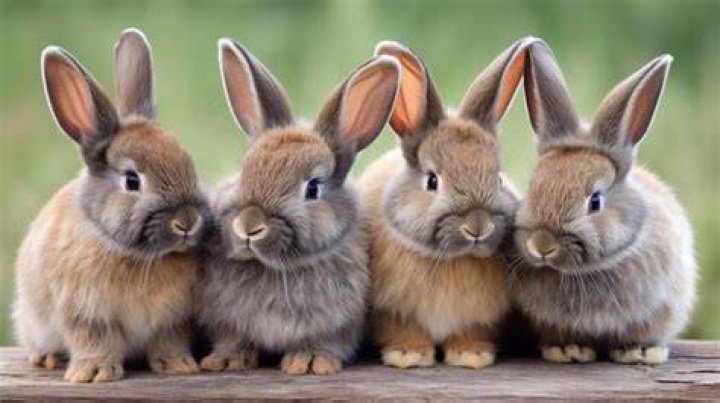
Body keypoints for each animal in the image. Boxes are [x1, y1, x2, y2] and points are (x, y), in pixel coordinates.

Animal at [12, 28, 209, 383]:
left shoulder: (172, 319)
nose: (187, 222)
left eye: (187, 162)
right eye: (132, 180)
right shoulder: (84, 314)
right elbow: (94, 341)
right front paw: (93, 374)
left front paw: (179, 366)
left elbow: (169, 340)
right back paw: (48, 358)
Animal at [196, 38, 400, 375]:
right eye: (244, 171)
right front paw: (226, 360)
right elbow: (233, 338)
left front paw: (310, 361)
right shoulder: (224, 318)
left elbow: (324, 341)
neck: (277, 269)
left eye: (313, 188)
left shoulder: (339, 322)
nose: (249, 226)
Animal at [357, 37, 539, 369]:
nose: (477, 227)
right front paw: (409, 355)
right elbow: (403, 330)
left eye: (497, 177)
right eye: (432, 181)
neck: (452, 259)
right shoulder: (392, 311)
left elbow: (470, 332)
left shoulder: (479, 317)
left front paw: (471, 355)